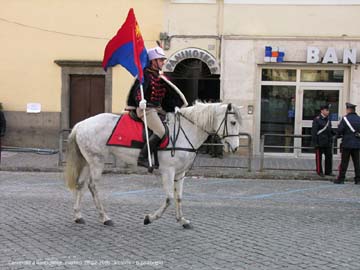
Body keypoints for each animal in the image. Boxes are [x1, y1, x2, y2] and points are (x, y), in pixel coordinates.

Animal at [64, 102, 242, 229]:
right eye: (233, 122)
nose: (235, 148)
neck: (185, 131)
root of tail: (81, 125)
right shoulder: (168, 172)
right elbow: (169, 198)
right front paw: (149, 218)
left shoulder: (180, 174)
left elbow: (179, 197)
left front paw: (182, 220)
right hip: (96, 161)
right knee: (92, 186)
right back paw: (105, 218)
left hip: (88, 162)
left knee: (81, 185)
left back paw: (78, 216)